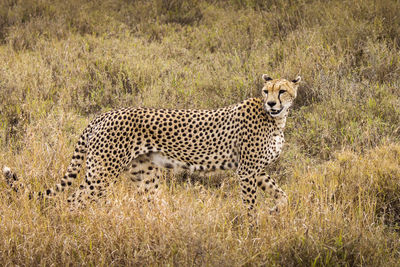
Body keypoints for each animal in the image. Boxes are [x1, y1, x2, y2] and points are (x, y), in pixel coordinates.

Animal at [3, 75, 302, 214]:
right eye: (266, 91)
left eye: (282, 91)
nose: (271, 103)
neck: (277, 119)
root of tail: (104, 114)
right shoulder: (247, 170)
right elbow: (250, 205)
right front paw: (253, 230)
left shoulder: (255, 170)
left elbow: (282, 194)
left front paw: (275, 210)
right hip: (102, 172)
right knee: (75, 198)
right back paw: (76, 225)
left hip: (144, 174)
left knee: (146, 202)